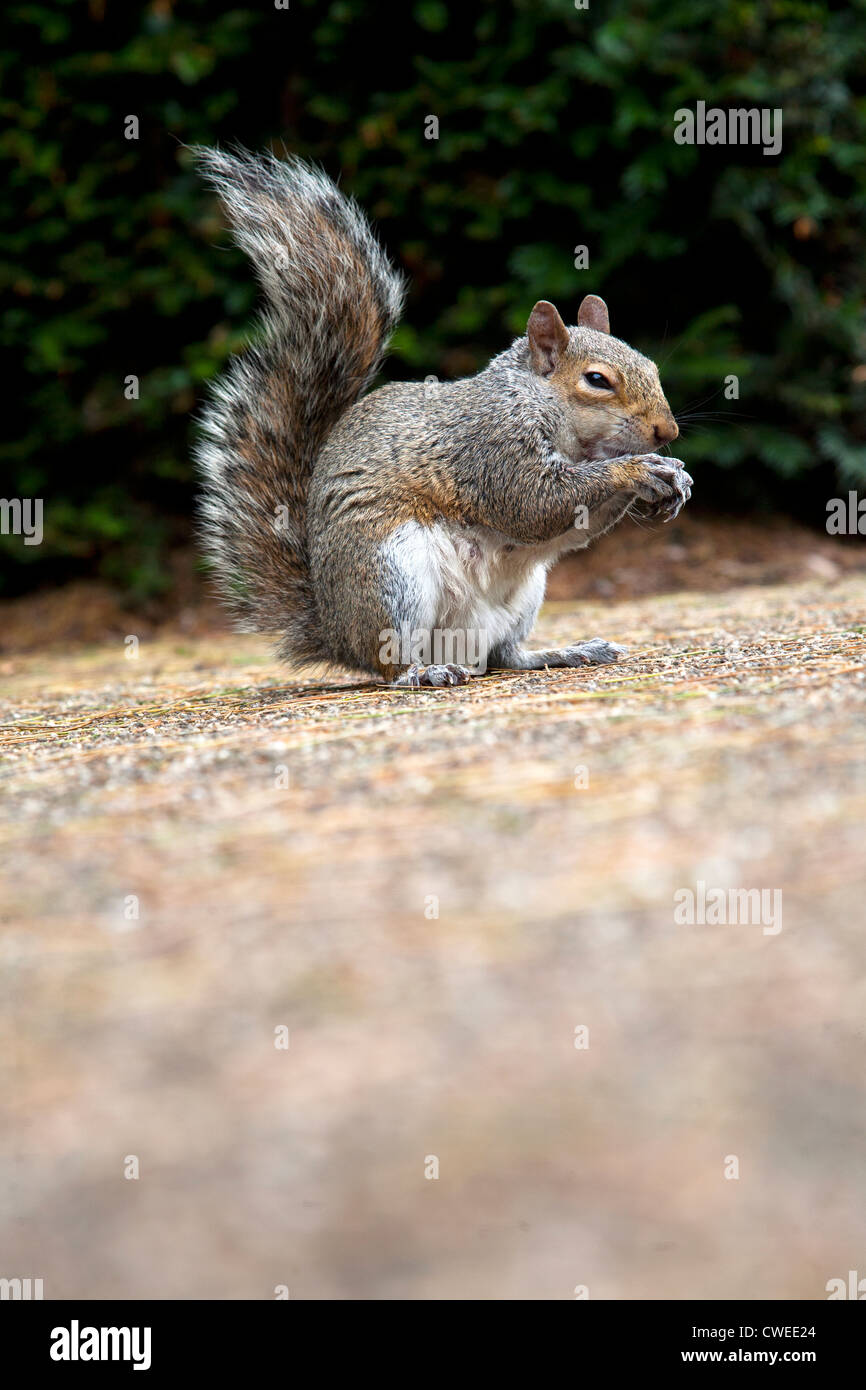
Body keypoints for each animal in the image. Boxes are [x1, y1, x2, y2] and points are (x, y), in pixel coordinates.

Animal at [194, 146, 692, 686]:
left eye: (651, 366)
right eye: (597, 380)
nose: (667, 431)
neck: (545, 409)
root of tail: (336, 630)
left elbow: (574, 521)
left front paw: (673, 477)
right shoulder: (491, 446)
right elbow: (534, 501)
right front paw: (637, 469)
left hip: (523, 598)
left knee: (505, 657)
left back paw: (565, 652)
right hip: (392, 574)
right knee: (389, 662)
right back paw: (423, 672)